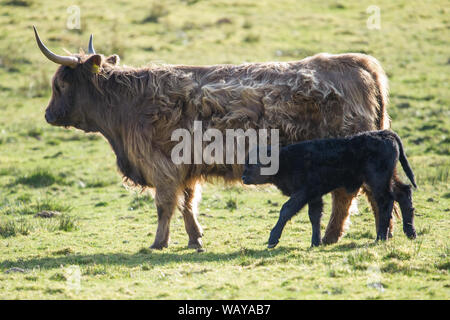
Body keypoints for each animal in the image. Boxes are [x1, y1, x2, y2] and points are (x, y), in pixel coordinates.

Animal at [33, 26, 390, 249]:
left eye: (59, 84)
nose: (48, 114)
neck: (127, 107)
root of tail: (359, 61)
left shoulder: (161, 167)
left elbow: (165, 205)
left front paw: (158, 243)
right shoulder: (184, 169)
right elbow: (187, 204)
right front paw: (195, 239)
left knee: (347, 197)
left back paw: (335, 237)